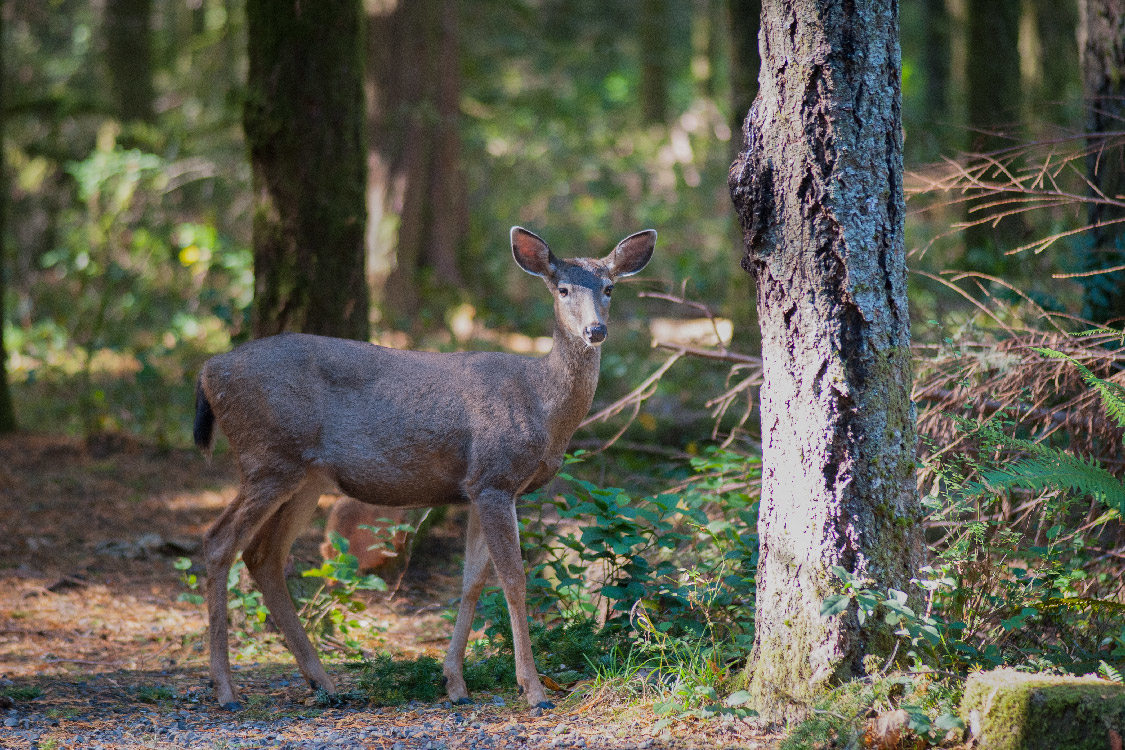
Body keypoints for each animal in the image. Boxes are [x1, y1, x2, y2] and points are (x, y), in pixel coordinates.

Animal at [190, 226, 657, 715]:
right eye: (562, 288)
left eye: (609, 288)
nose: (595, 330)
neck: (542, 407)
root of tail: (207, 370)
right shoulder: (494, 478)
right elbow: (513, 580)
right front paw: (534, 690)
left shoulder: (478, 487)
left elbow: (472, 582)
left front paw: (455, 683)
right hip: (267, 457)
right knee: (219, 540)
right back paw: (227, 690)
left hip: (304, 476)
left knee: (264, 556)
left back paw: (324, 683)